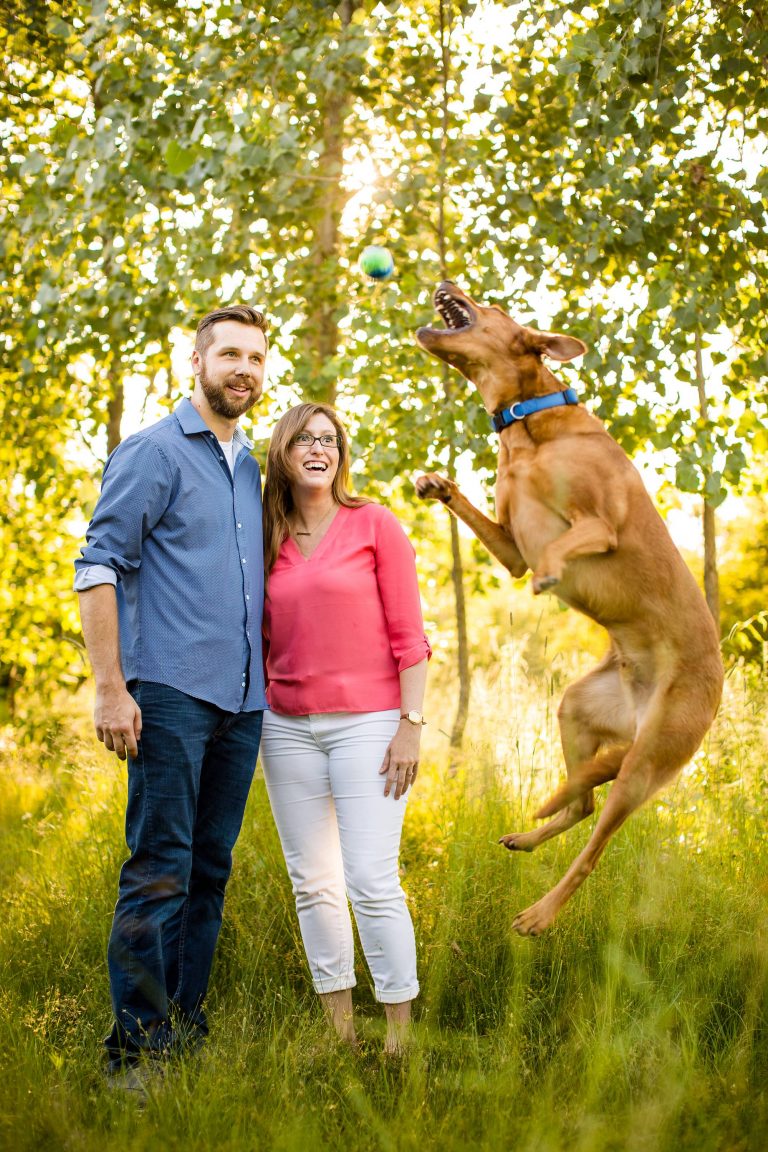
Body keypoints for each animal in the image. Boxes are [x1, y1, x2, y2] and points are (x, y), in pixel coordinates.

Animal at [414, 278, 723, 935]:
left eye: (490, 303)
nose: (447, 282)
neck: (526, 425)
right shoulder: (510, 550)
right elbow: (488, 524)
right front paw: (437, 484)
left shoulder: (599, 524)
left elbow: (562, 546)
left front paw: (553, 574)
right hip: (579, 710)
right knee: (580, 800)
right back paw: (529, 837)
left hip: (645, 763)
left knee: (593, 847)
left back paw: (541, 913)